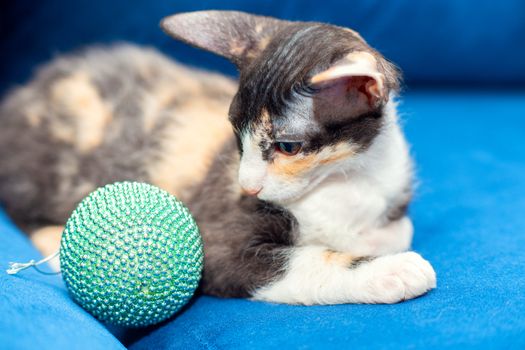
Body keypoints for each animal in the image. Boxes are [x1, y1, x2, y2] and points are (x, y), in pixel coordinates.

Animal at [0, 10, 434, 304]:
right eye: (236, 133)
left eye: (287, 146)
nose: (248, 186)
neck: (344, 177)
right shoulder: (215, 242)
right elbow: (303, 261)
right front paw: (392, 270)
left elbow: (400, 228)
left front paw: (377, 243)